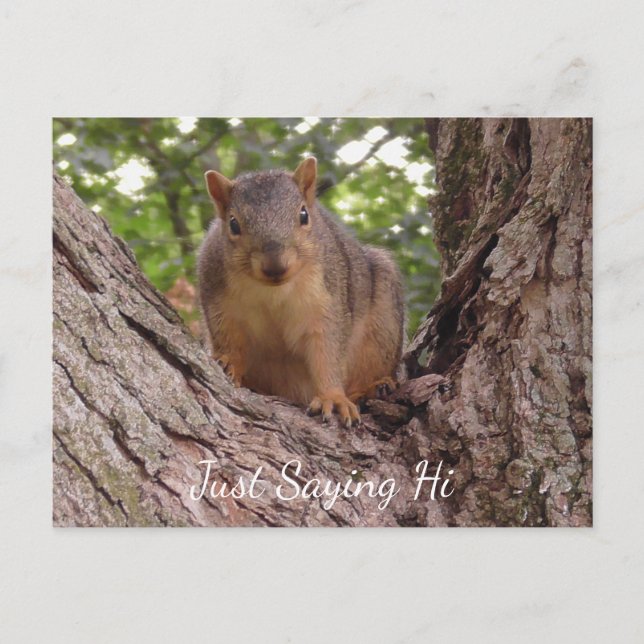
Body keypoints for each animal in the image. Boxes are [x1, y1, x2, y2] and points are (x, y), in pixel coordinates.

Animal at [197, 157, 405, 428]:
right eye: (233, 224)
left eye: (303, 215)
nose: (275, 266)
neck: (272, 292)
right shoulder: (219, 302)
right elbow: (228, 337)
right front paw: (229, 361)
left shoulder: (326, 302)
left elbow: (326, 351)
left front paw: (333, 398)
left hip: (383, 325)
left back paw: (372, 388)